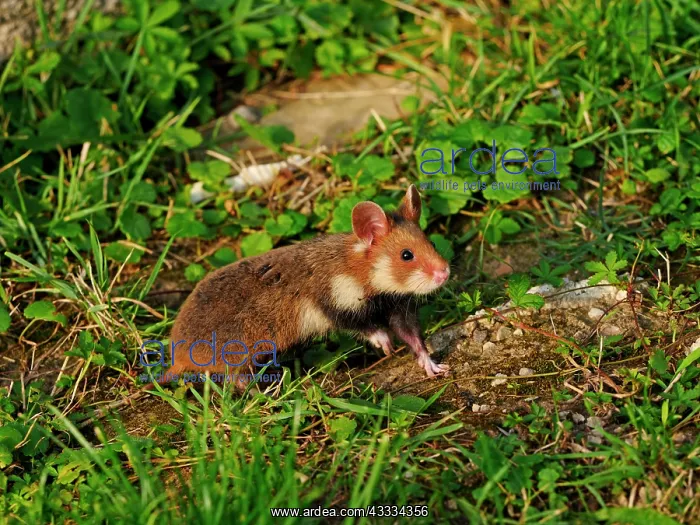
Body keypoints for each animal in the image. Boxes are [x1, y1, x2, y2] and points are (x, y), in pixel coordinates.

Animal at [161, 184, 451, 386]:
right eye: (406, 255)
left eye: (431, 243)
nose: (445, 273)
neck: (364, 274)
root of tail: (177, 358)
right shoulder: (336, 305)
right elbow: (368, 328)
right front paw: (386, 346)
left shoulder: (398, 306)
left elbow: (415, 339)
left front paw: (434, 368)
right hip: (236, 357)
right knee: (235, 382)